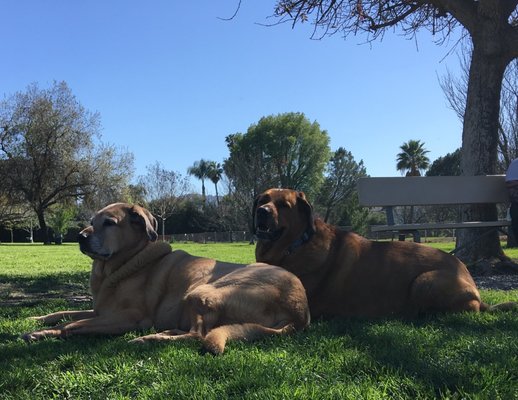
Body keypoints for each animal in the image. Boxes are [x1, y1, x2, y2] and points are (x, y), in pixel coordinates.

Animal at [23, 203, 308, 354]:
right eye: (92, 221)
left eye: (110, 223)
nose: (80, 237)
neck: (121, 265)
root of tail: (299, 312)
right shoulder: (99, 311)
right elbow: (63, 312)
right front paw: (36, 319)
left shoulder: (126, 318)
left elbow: (72, 325)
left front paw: (42, 333)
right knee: (196, 332)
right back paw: (164, 332)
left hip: (202, 290)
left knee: (199, 335)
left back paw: (148, 339)